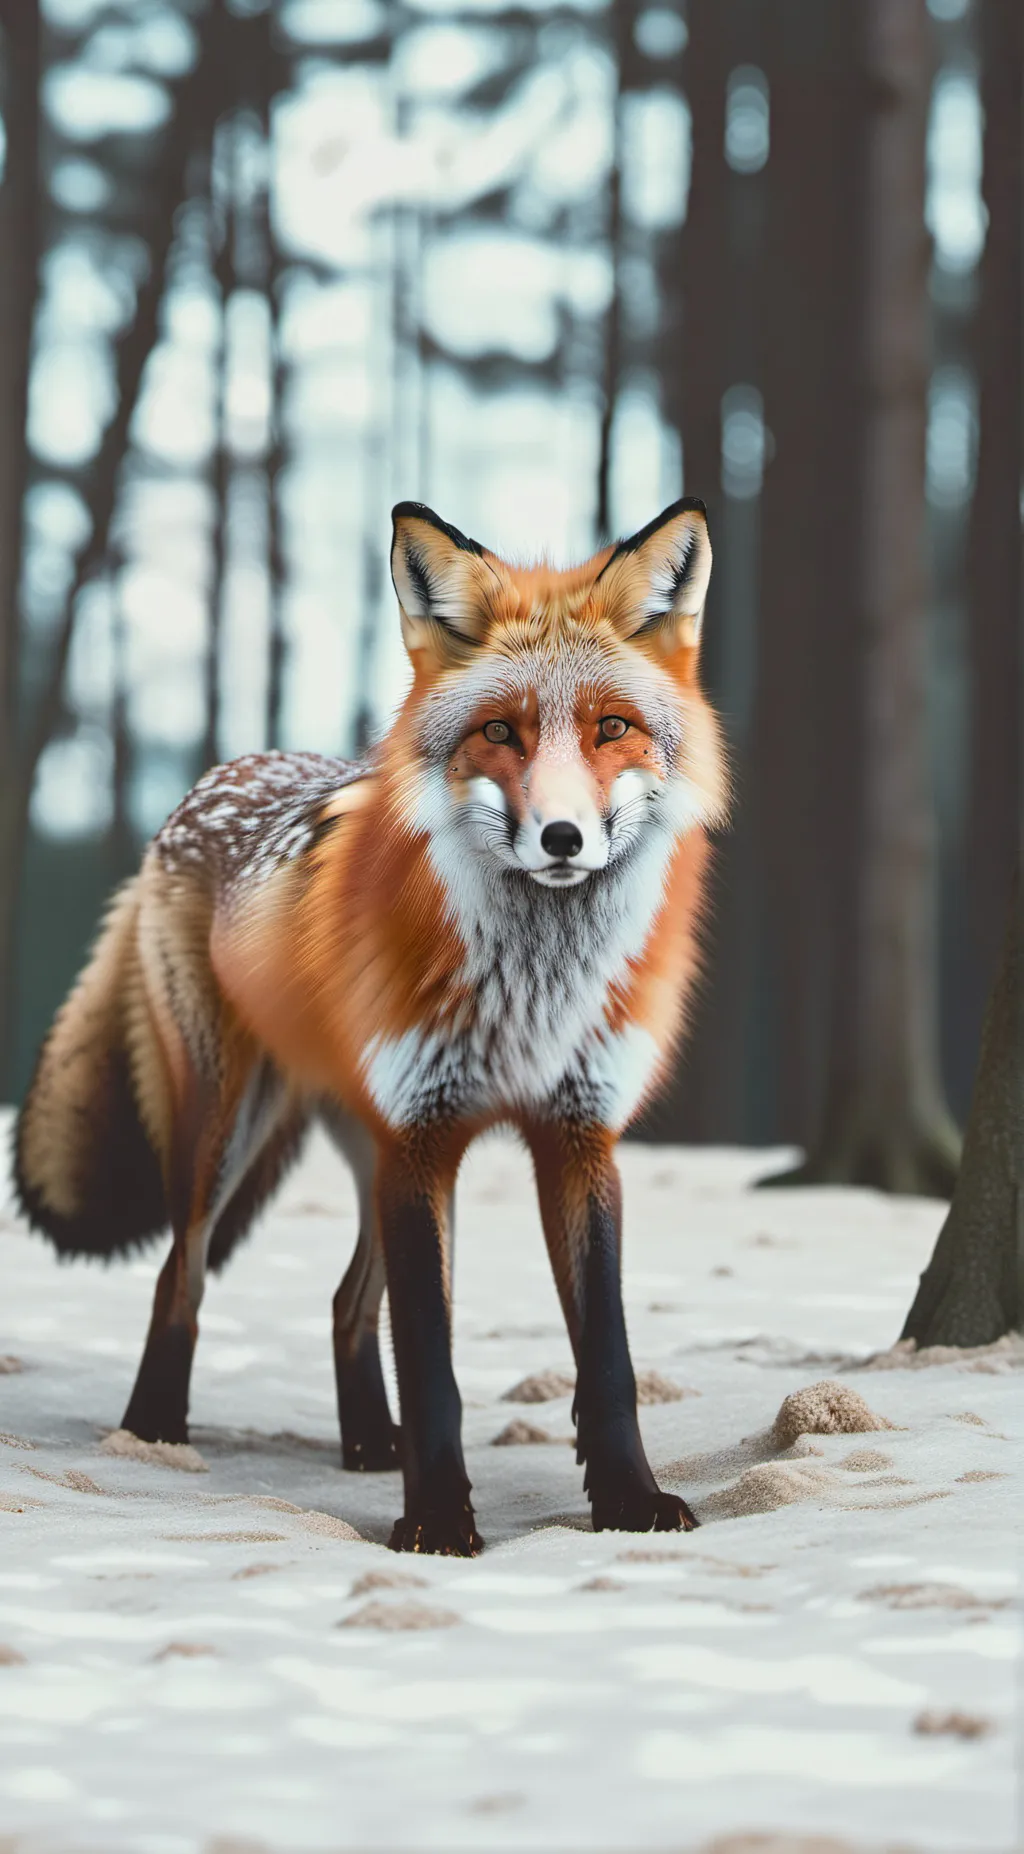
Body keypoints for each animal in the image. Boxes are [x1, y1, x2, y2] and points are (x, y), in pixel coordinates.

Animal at [14, 495, 728, 1555]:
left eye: (613, 727)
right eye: (501, 731)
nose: (563, 838)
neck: (534, 986)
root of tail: (217, 774)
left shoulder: (576, 1134)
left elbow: (608, 1361)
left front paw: (630, 1503)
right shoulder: (423, 1138)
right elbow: (432, 1362)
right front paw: (436, 1522)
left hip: (372, 1155)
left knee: (347, 1303)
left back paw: (365, 1445)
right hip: (232, 1131)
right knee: (181, 1275)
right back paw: (153, 1435)